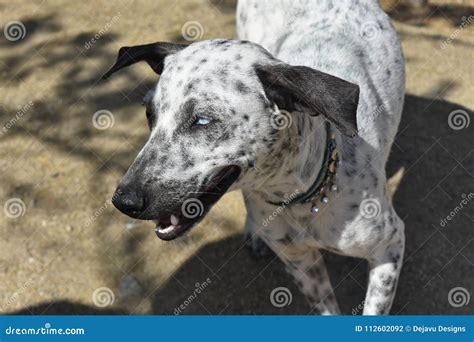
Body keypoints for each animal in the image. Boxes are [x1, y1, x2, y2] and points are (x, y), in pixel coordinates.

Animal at [102, 0, 406, 316]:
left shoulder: (390, 247)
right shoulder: (300, 262)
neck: (300, 198)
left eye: (202, 121)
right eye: (149, 114)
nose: (124, 201)